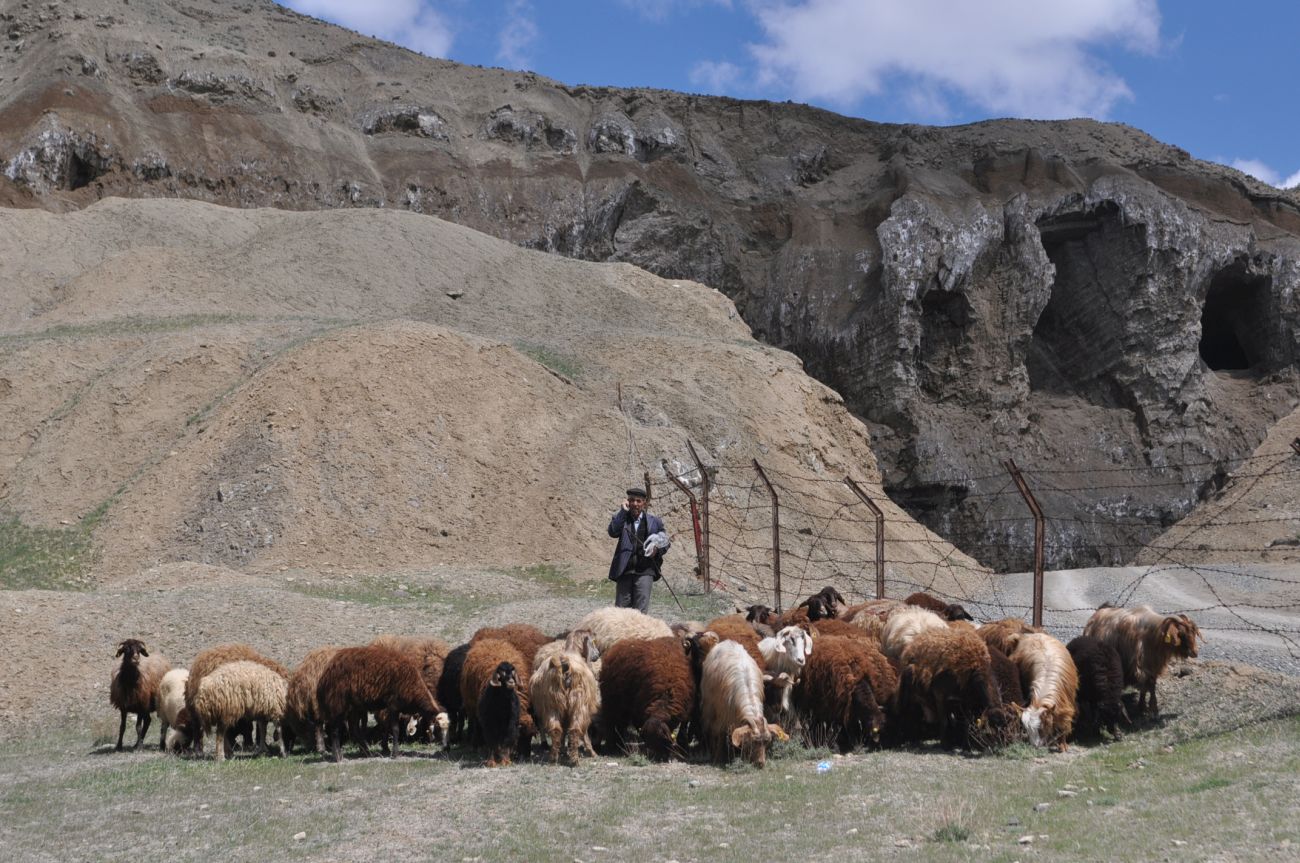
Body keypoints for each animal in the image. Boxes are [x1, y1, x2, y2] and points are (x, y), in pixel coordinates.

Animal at [317, 639, 449, 764]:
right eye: (438, 728)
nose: (445, 747)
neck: (413, 689)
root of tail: (328, 670)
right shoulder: (393, 705)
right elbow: (395, 729)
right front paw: (394, 754)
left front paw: (388, 749)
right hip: (338, 703)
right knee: (334, 730)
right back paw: (338, 757)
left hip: (354, 707)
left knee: (354, 729)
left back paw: (367, 753)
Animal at [595, 631, 717, 759]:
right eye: (650, 742)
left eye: (664, 740)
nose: (658, 757)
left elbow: (683, 728)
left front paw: (682, 745)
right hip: (612, 702)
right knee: (613, 724)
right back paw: (614, 747)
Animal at [702, 639, 769, 769]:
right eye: (752, 742)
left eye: (766, 742)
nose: (760, 764)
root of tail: (727, 641)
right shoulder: (722, 716)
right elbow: (720, 735)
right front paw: (718, 759)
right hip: (710, 708)